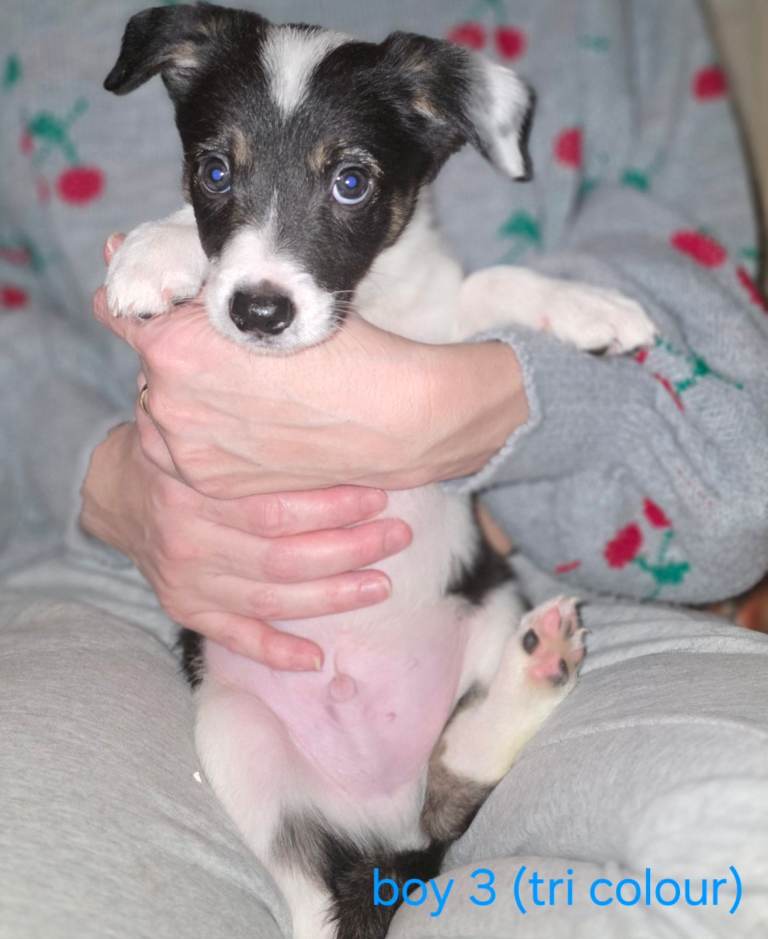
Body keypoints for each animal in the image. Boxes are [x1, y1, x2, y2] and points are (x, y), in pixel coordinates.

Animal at [104, 5, 656, 937]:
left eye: (352, 184)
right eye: (213, 171)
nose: (258, 312)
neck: (373, 300)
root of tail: (379, 805)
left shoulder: (434, 340)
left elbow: (495, 281)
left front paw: (591, 309)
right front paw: (156, 251)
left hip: (485, 609)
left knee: (451, 784)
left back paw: (533, 671)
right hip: (235, 733)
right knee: (312, 888)